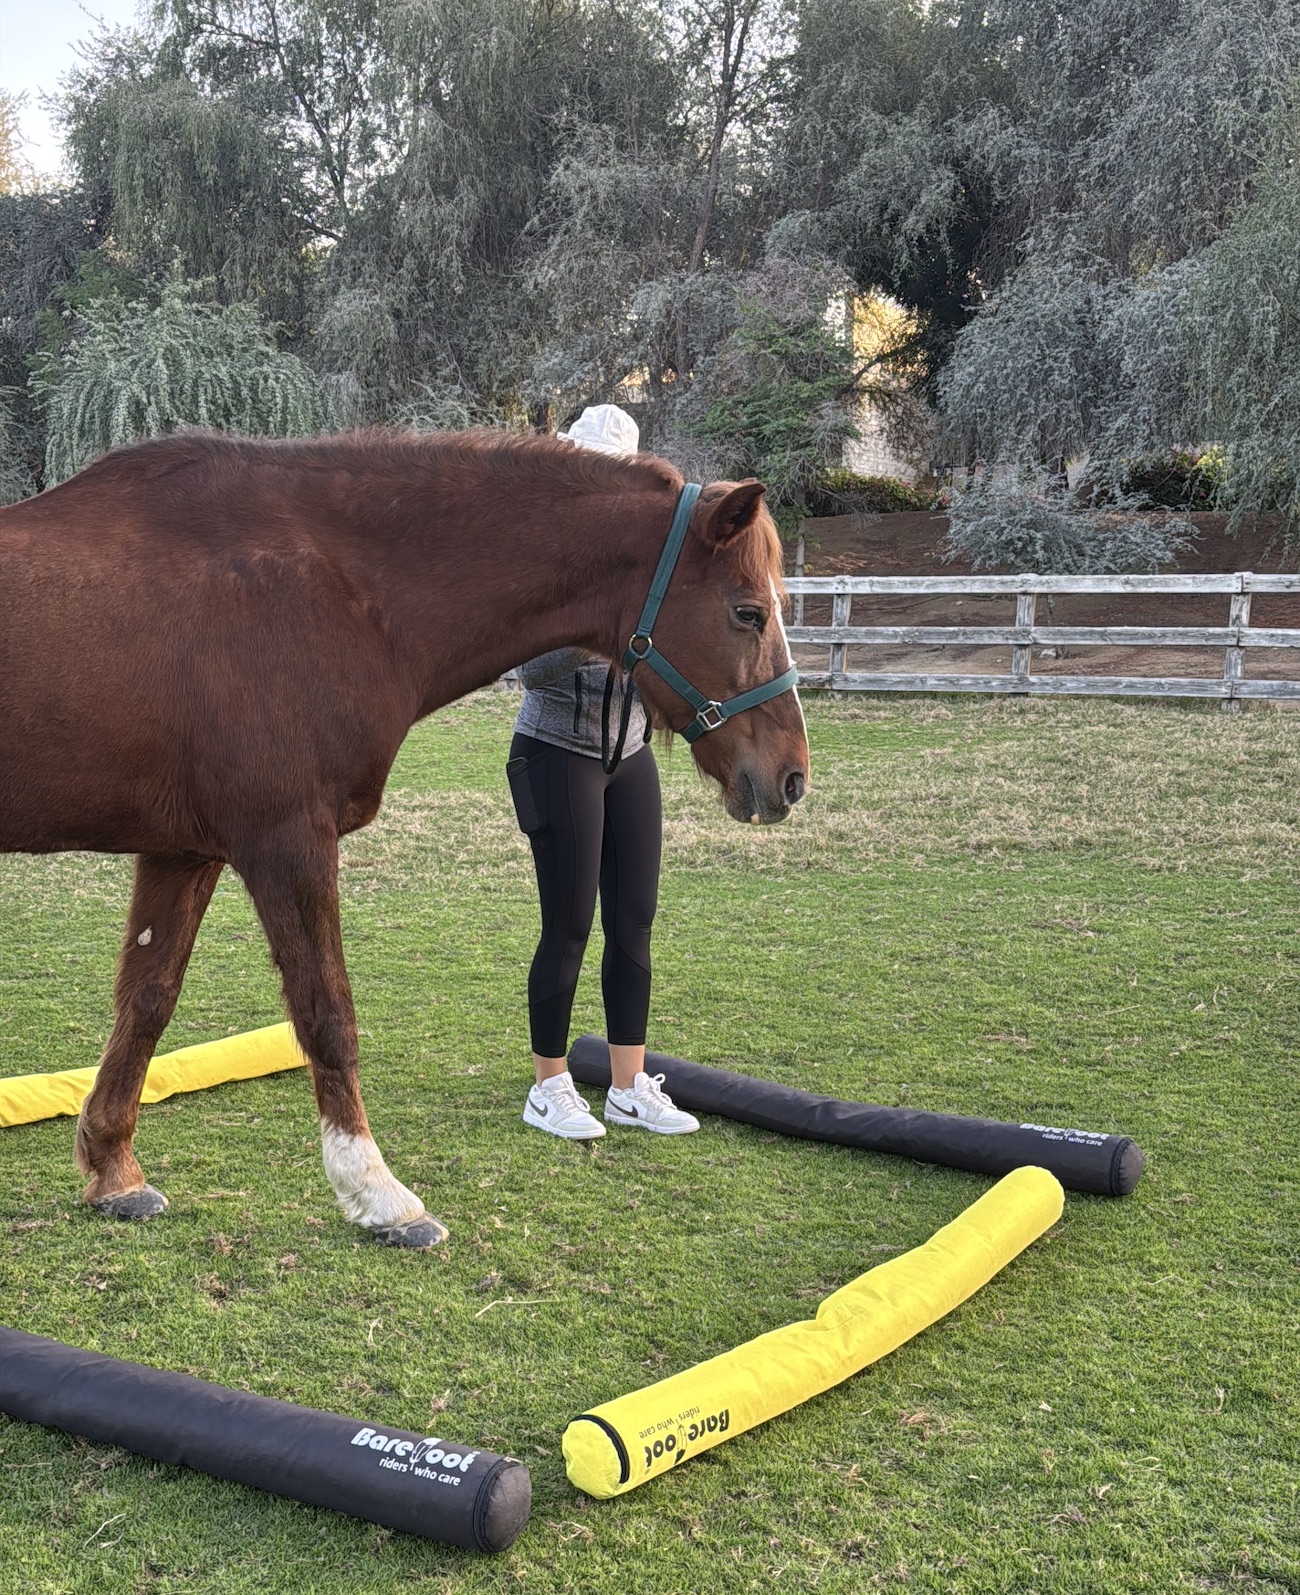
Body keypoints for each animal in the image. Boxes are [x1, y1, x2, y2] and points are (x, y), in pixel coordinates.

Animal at [0, 429, 809, 1247]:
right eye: (748, 613)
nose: (791, 777)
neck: (335, 590)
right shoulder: (287, 841)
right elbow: (326, 1014)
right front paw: (378, 1194)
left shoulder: (185, 850)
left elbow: (147, 1000)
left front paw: (114, 1172)